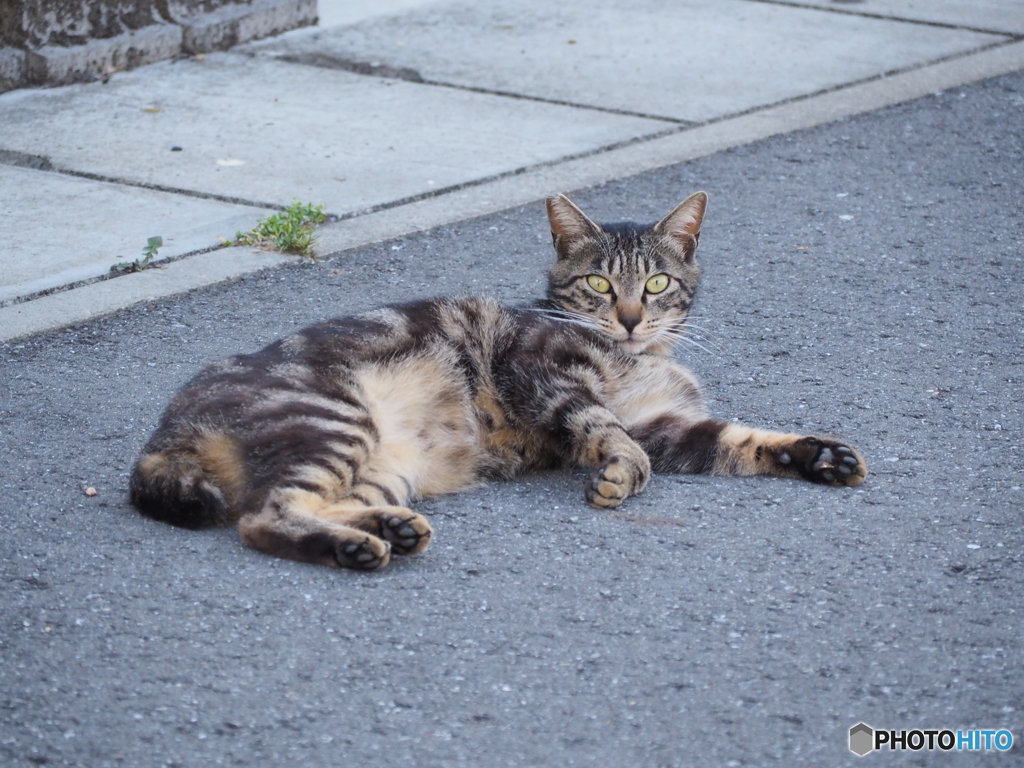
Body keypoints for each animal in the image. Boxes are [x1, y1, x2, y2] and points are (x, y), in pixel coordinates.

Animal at [125, 192, 864, 573]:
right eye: (599, 285)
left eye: (655, 284)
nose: (629, 319)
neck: (637, 358)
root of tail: (168, 425)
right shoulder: (546, 373)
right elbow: (613, 434)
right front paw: (622, 473)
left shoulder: (669, 423)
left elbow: (740, 440)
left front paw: (819, 454)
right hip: (334, 421)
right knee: (263, 515)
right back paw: (355, 546)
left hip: (384, 465)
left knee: (309, 502)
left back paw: (388, 530)